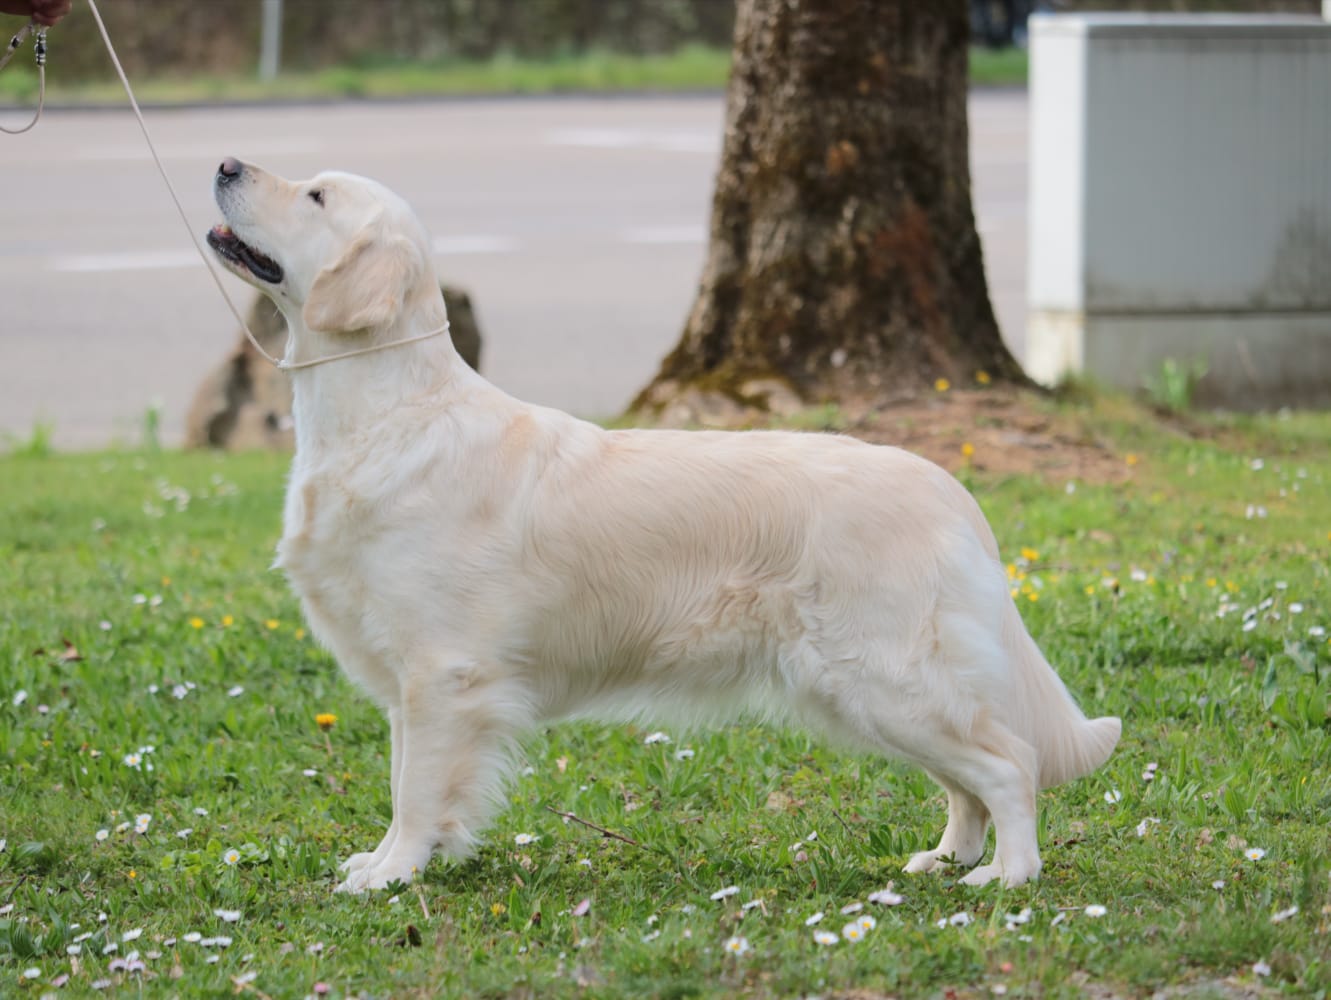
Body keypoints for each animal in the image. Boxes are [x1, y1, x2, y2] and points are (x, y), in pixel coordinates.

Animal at [210, 156, 1123, 889]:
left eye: (316, 195)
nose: (224, 163)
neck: (389, 411)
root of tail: (948, 486)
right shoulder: (409, 680)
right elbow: (408, 781)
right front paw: (389, 860)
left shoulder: (443, 673)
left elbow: (417, 788)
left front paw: (394, 873)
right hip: (870, 691)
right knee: (966, 779)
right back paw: (948, 857)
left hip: (885, 677)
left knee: (1009, 765)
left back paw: (1008, 875)